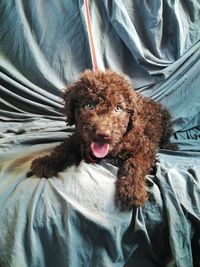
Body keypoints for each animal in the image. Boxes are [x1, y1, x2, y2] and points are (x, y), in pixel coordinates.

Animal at [30, 70, 177, 208]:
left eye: (118, 108)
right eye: (89, 105)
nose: (102, 134)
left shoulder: (145, 146)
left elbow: (135, 162)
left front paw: (133, 189)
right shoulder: (79, 138)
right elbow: (63, 149)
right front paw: (45, 162)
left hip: (166, 120)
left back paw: (170, 146)